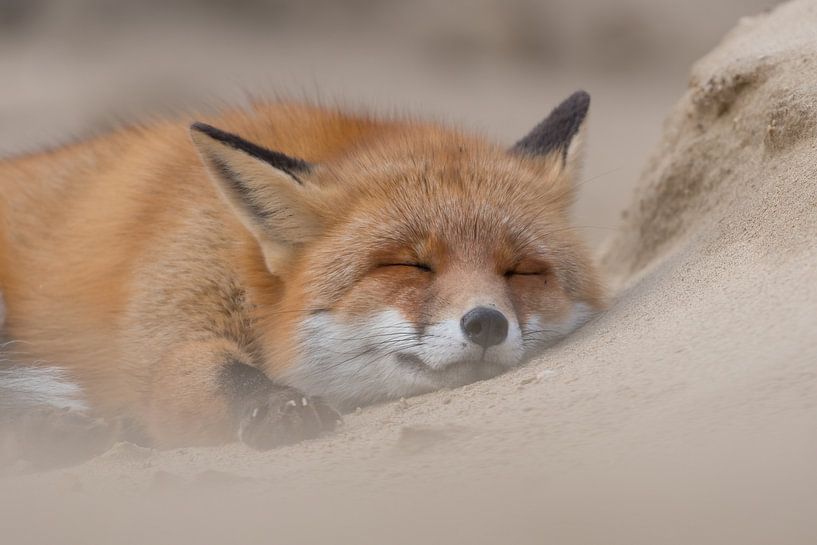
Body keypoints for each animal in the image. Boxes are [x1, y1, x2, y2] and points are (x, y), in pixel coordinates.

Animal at [0, 92, 605, 451]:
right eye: (408, 264)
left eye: (522, 272)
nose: (486, 323)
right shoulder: (164, 329)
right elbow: (218, 372)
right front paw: (276, 404)